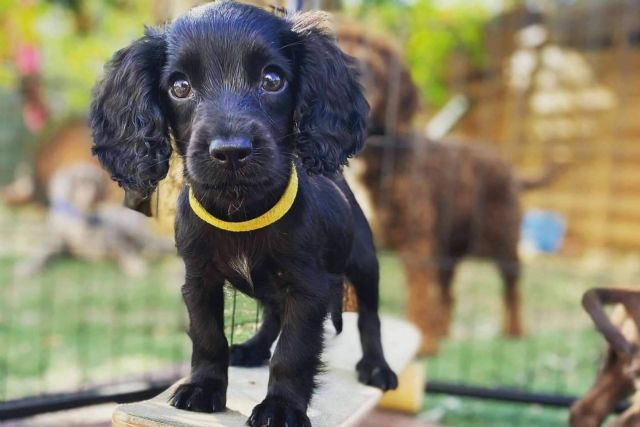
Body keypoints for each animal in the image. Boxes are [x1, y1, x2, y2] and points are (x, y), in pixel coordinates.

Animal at [89, 1, 396, 426]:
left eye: (272, 79)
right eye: (180, 87)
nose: (231, 151)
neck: (241, 209)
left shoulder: (308, 287)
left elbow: (293, 353)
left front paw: (281, 407)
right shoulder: (199, 279)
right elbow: (208, 337)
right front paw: (203, 387)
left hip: (364, 263)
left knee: (369, 317)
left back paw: (377, 366)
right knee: (272, 314)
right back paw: (252, 348)